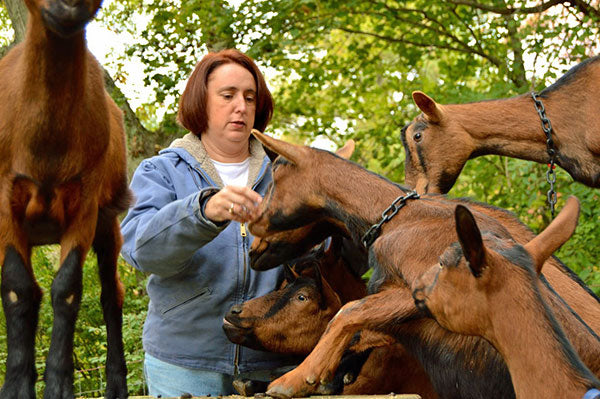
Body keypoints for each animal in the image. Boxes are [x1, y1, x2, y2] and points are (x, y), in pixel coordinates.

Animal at [0, 0, 131, 399]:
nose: (69, 6)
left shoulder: (84, 204)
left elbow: (67, 289)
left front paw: (59, 385)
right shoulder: (4, 202)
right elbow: (17, 290)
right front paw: (16, 386)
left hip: (109, 221)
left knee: (111, 295)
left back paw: (116, 385)